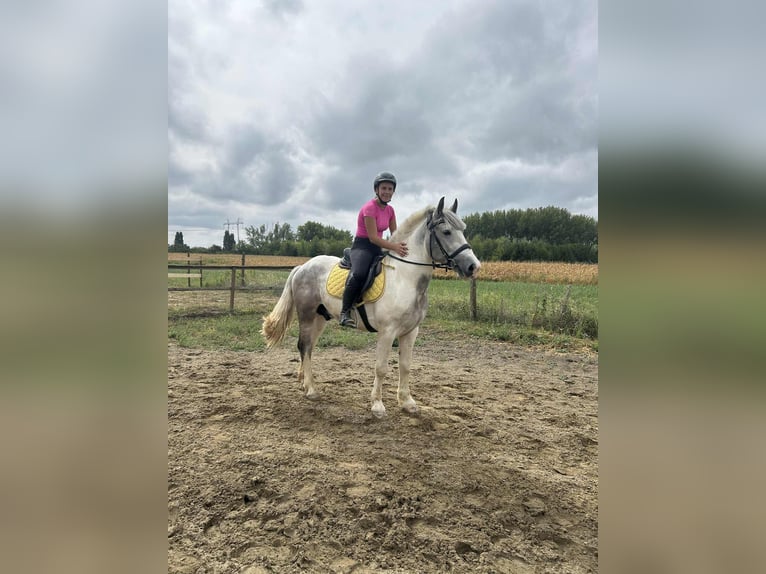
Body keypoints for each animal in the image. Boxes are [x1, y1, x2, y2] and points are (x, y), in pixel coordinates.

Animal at [261, 197, 481, 417]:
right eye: (446, 232)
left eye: (462, 230)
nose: (474, 266)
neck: (404, 277)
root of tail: (303, 267)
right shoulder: (387, 331)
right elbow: (381, 368)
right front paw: (377, 405)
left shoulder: (411, 331)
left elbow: (405, 366)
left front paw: (407, 402)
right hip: (306, 315)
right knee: (304, 345)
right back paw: (311, 390)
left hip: (320, 317)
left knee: (309, 347)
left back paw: (304, 382)